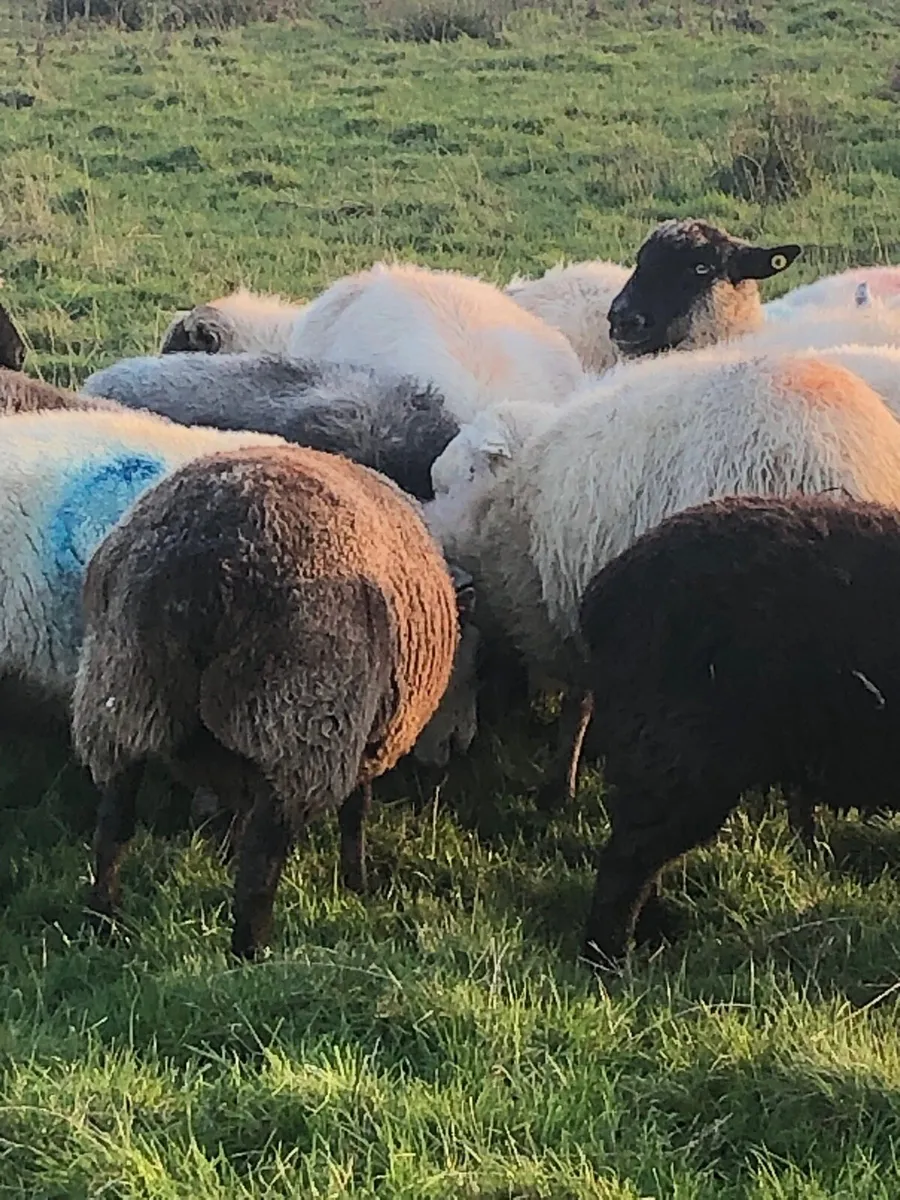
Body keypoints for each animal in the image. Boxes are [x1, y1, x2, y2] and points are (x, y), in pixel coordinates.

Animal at [71, 444, 480, 959]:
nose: (461, 741)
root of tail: (209, 565)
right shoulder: (363, 733)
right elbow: (355, 813)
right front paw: (357, 883)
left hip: (124, 690)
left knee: (113, 821)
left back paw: (101, 917)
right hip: (300, 716)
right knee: (262, 860)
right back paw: (251, 952)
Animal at [577, 493, 900, 968]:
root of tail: (606, 590)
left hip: (657, 753)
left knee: (636, 849)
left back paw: (652, 936)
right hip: (683, 754)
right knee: (627, 860)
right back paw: (611, 960)